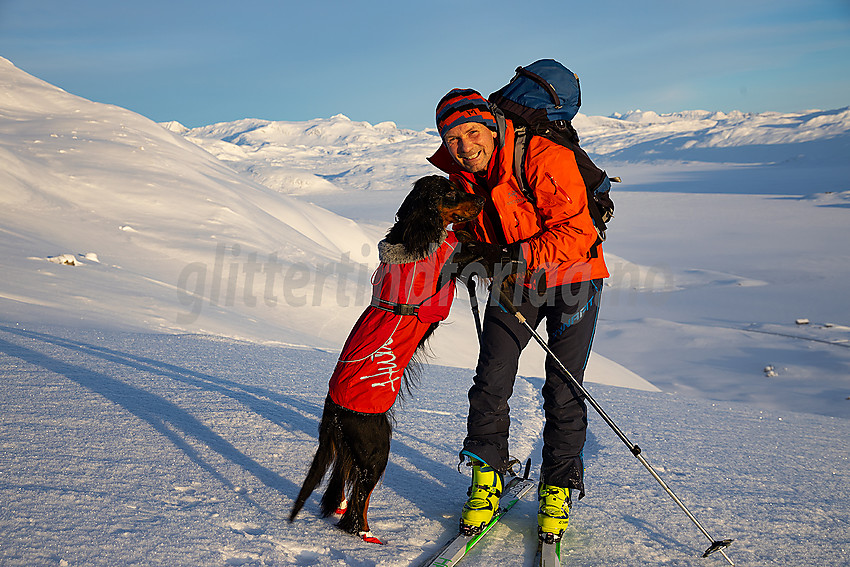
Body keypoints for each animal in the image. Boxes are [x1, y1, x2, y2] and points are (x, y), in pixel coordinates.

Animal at [286, 175, 480, 544]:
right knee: (357, 504)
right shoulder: (447, 273)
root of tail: (334, 412)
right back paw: (369, 537)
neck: (412, 235)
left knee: (340, 493)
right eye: (449, 192)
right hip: (376, 448)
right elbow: (466, 248)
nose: (480, 199)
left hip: (350, 452)